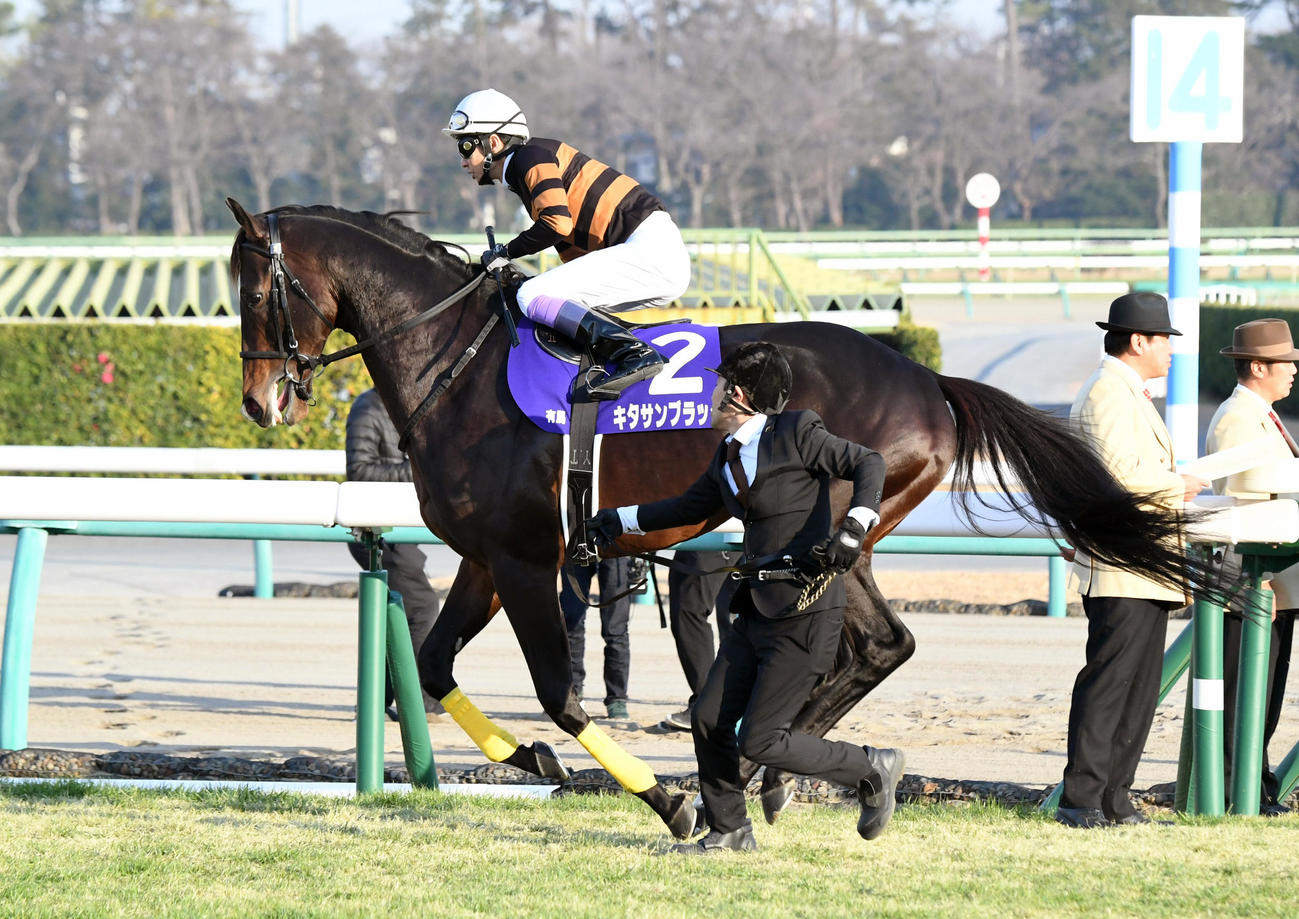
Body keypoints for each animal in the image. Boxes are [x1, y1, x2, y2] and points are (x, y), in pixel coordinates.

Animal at [227, 199, 1205, 839]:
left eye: (256, 291)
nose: (259, 400)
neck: (458, 367)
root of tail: (928, 378)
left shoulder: (524, 556)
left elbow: (560, 693)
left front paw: (666, 799)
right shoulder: (483, 556)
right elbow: (434, 667)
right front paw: (536, 760)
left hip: (833, 531)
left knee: (869, 645)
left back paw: (756, 765)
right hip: (850, 542)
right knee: (882, 645)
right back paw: (769, 769)